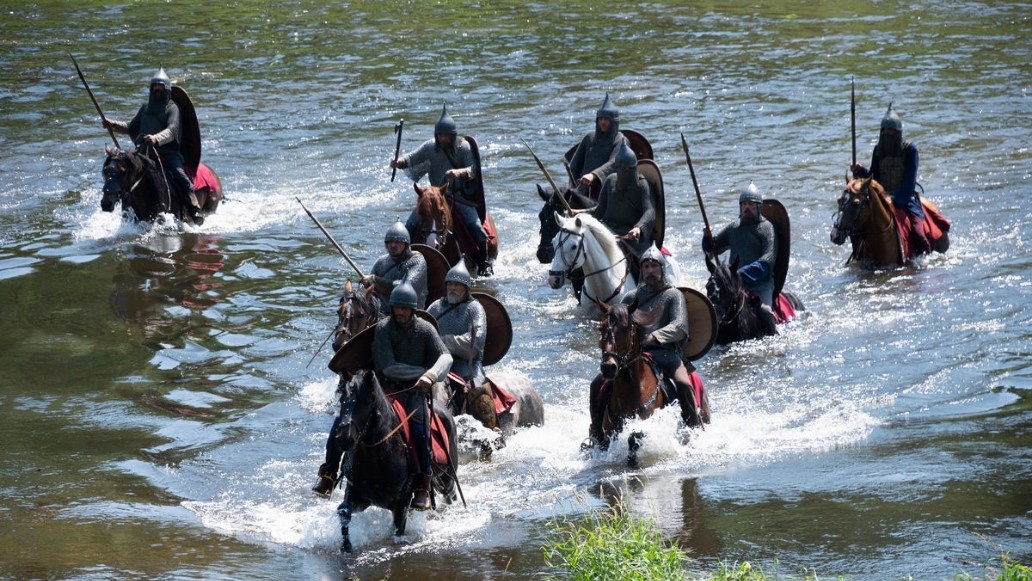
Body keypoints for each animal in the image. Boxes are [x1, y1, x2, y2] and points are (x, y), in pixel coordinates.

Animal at [334, 371, 460, 553]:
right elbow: (343, 512)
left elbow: (397, 532)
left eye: (366, 402)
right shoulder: (358, 495)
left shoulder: (401, 504)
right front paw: (346, 546)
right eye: (341, 400)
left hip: (447, 477)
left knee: (450, 495)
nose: (344, 439)